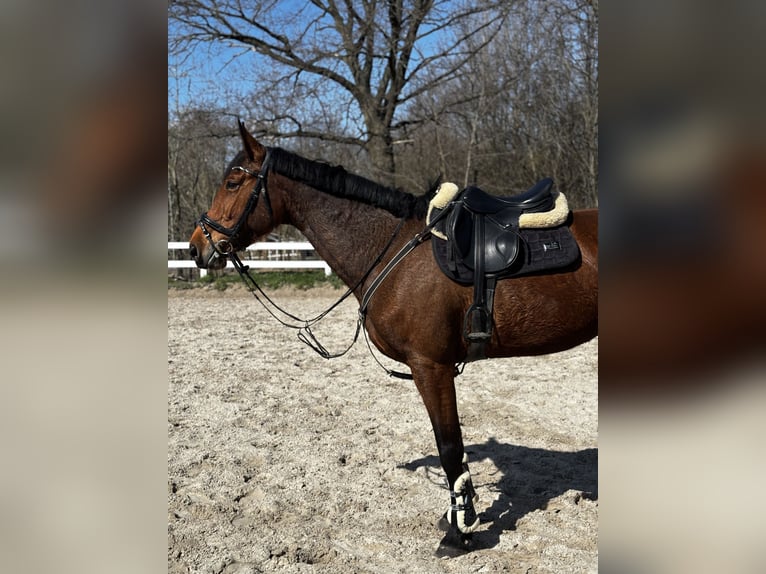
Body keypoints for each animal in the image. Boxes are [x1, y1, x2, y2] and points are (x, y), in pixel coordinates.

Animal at [188, 121, 598, 556]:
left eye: (233, 183)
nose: (197, 246)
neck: (392, 249)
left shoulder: (430, 367)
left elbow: (450, 446)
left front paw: (460, 531)